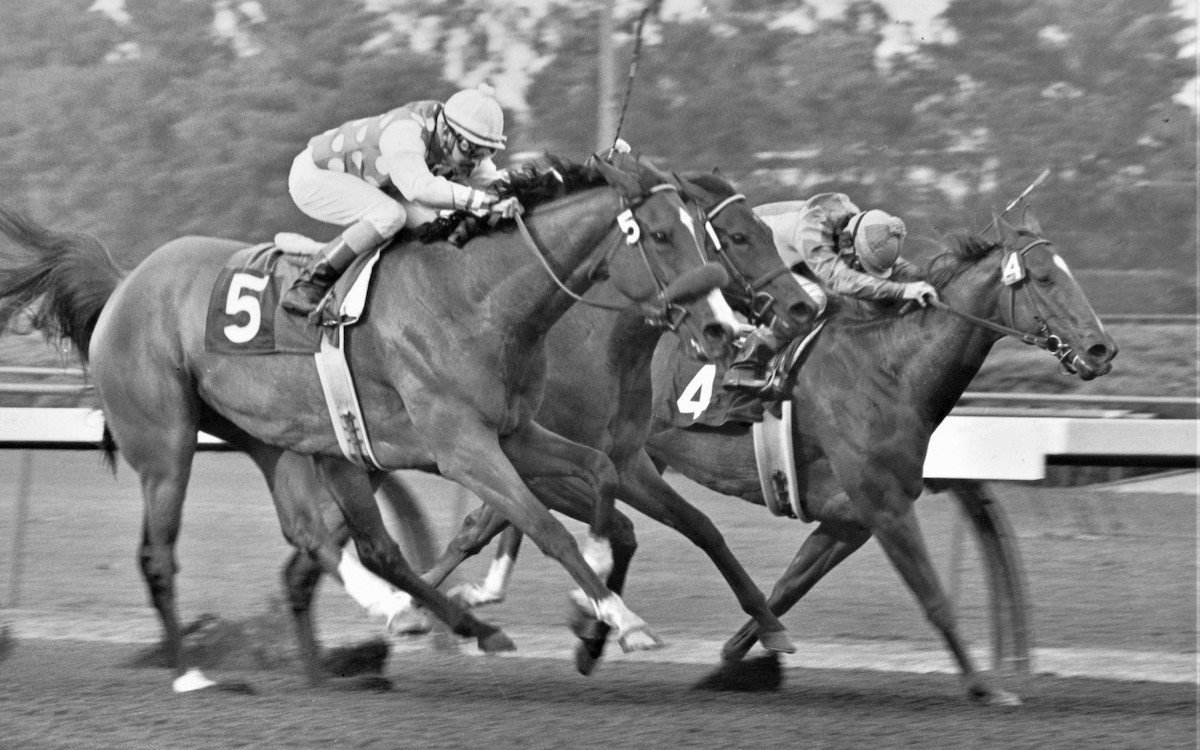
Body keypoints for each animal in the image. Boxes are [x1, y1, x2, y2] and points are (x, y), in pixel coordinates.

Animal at [0, 153, 734, 691]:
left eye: (707, 235)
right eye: (662, 235)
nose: (723, 329)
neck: (478, 297)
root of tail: (126, 282)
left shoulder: (514, 434)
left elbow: (600, 471)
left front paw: (598, 585)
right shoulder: (463, 447)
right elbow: (543, 525)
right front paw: (620, 617)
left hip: (280, 439)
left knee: (344, 541)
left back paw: (412, 618)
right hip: (166, 440)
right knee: (160, 555)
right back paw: (191, 674)